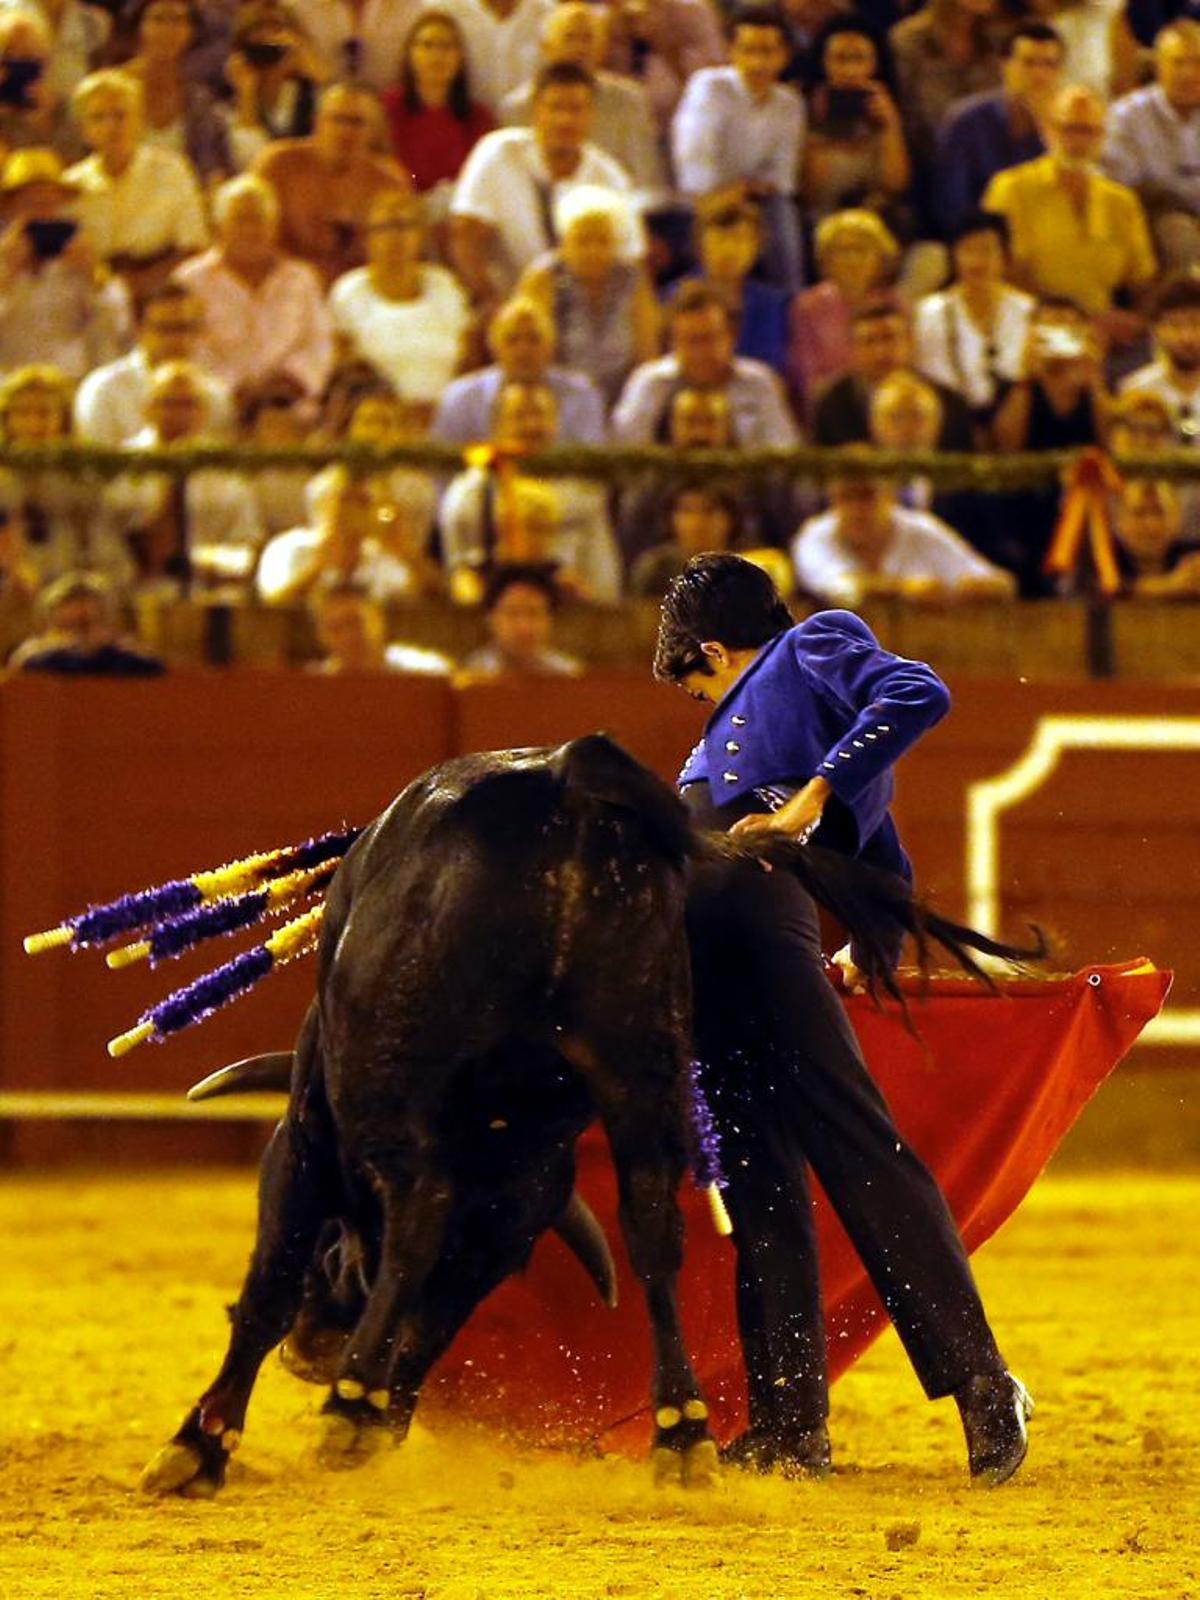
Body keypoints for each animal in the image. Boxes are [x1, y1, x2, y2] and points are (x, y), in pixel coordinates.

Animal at [140, 736, 1036, 1497]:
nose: (315, 1350)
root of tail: (571, 772)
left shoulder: (308, 1136)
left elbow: (273, 1282)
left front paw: (205, 1444)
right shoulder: (511, 1216)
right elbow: (436, 1312)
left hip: (386, 1080)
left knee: (422, 1207)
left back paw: (350, 1405)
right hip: (638, 1063)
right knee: (651, 1227)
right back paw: (682, 1432)